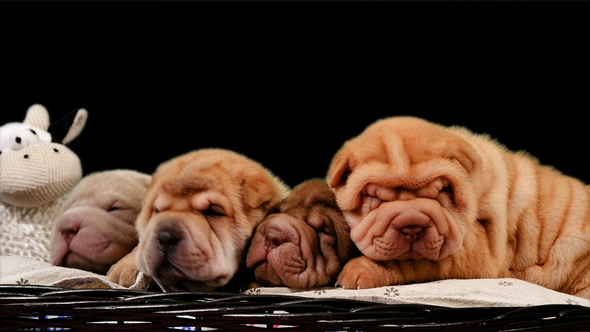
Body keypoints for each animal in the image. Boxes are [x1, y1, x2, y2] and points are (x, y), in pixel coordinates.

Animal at [328, 116, 590, 298]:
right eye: (375, 197)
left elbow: (417, 261)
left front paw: (360, 270)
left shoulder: (484, 250)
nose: (411, 226)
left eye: (440, 192)